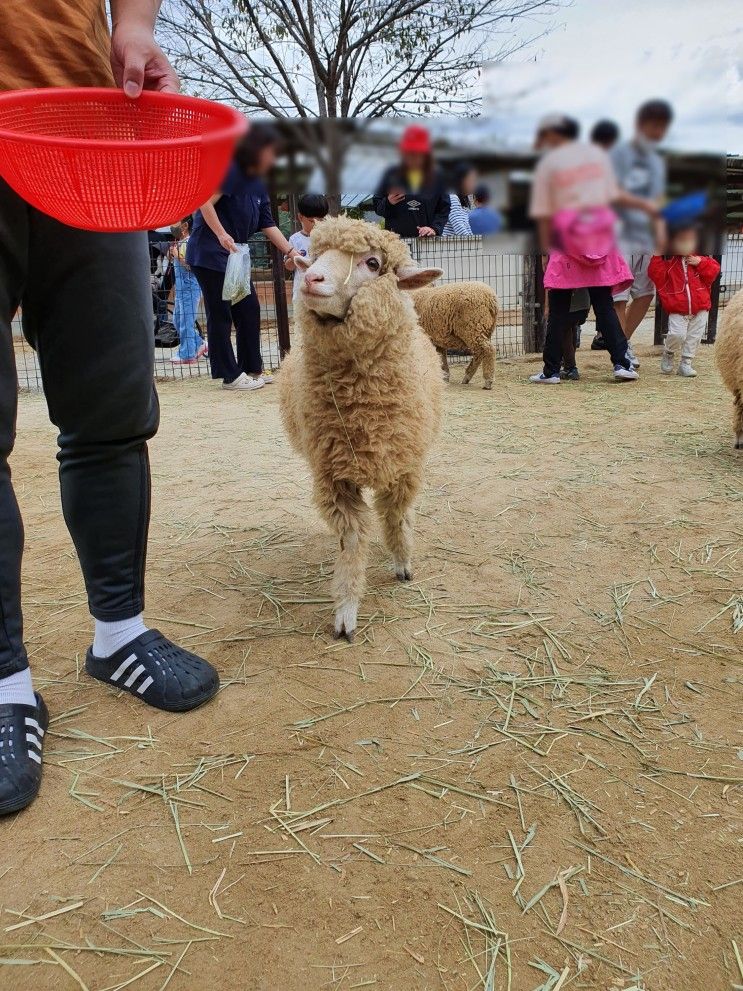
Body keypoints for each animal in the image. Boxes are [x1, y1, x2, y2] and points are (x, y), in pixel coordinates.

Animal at [278, 217, 442, 640]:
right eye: (316, 254)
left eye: (372, 263)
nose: (311, 278)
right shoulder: (335, 478)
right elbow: (351, 540)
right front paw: (346, 609)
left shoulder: (403, 465)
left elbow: (397, 515)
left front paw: (402, 562)